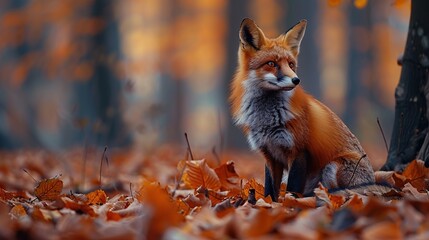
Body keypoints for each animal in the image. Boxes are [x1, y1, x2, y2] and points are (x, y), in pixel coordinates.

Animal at [229, 18, 372, 201]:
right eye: (271, 64)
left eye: (291, 65)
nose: (296, 80)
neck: (267, 120)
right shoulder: (269, 154)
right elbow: (270, 189)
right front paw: (268, 204)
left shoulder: (299, 151)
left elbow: (292, 188)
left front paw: (290, 204)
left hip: (332, 167)